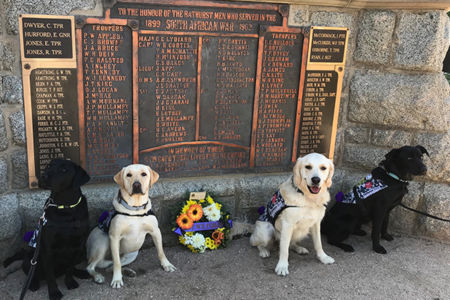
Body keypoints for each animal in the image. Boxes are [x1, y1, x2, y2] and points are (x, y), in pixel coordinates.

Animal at [3, 158, 91, 298]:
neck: (65, 207)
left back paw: (81, 273)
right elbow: (50, 276)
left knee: (70, 267)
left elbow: (69, 268)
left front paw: (70, 282)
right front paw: (54, 292)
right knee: (32, 274)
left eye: (64, 169)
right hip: (30, 259)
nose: (43, 176)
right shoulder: (47, 249)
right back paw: (33, 284)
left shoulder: (77, 245)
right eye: (49, 166)